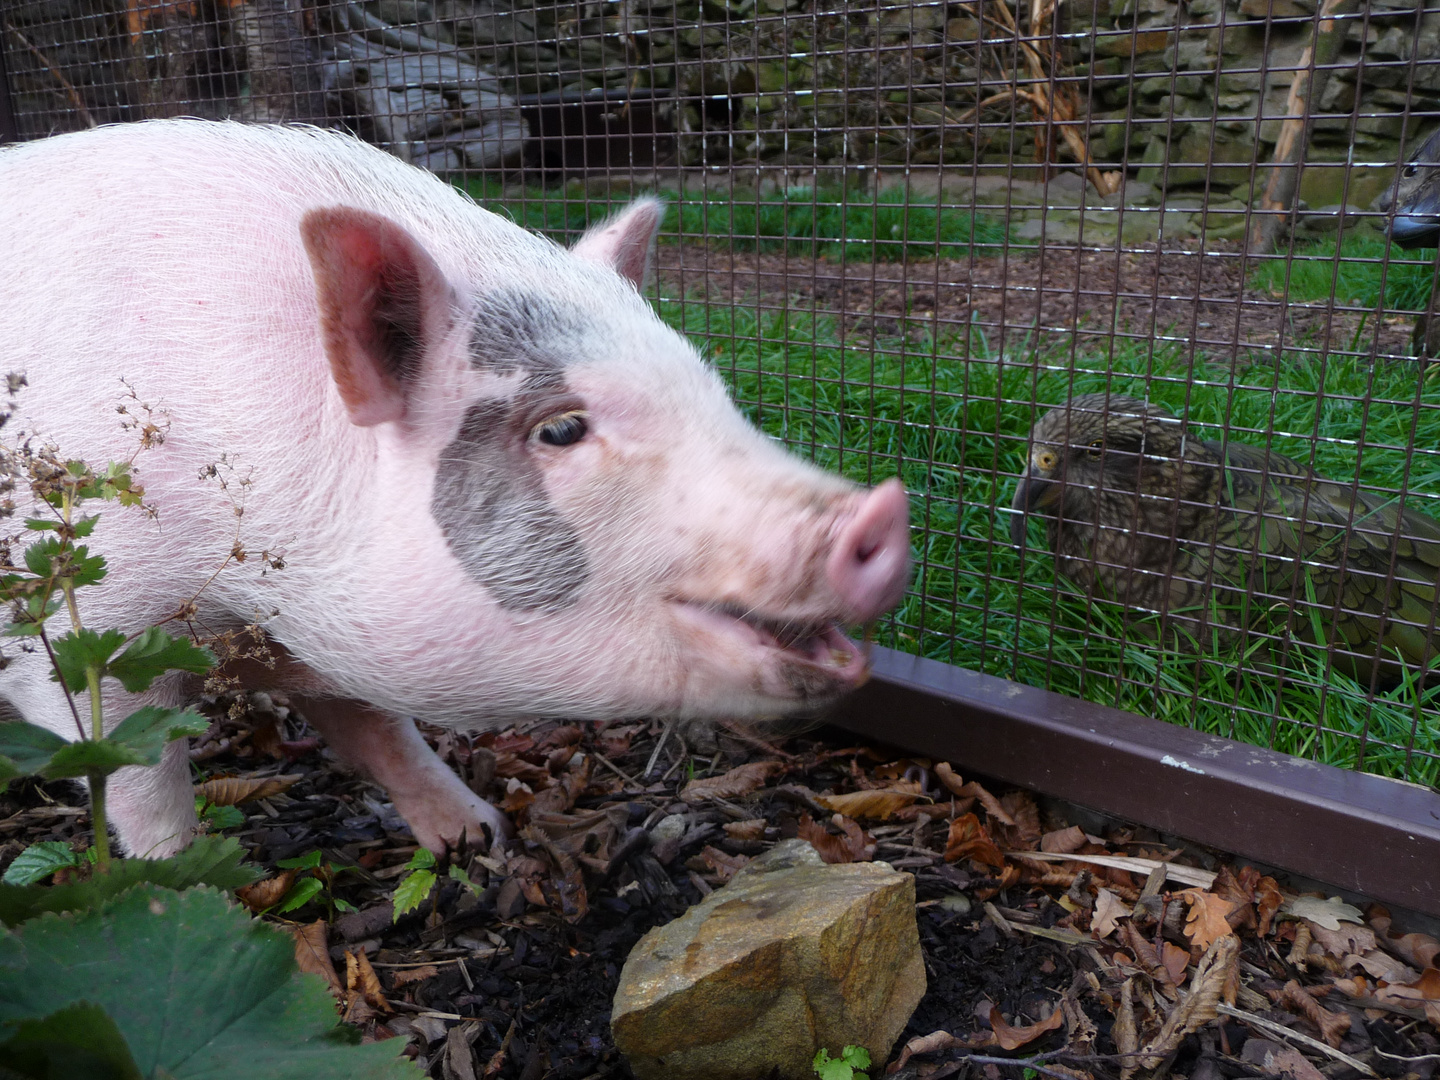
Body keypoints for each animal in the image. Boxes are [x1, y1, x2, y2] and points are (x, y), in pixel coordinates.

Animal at [0, 120, 910, 864]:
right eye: (561, 429)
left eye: (711, 390)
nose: (884, 509)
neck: (248, 606)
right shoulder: (89, 639)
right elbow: (142, 787)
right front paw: (186, 891)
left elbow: (379, 732)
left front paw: (477, 839)